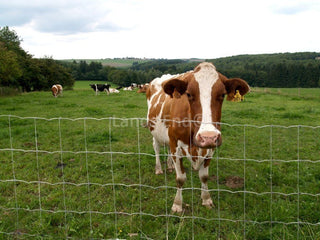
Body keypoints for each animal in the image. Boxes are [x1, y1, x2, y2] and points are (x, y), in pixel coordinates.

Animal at [147, 62, 250, 212]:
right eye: (189, 94)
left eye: (222, 94)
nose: (208, 137)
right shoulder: (176, 145)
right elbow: (180, 178)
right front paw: (177, 204)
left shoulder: (210, 148)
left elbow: (204, 176)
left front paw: (206, 199)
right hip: (155, 132)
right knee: (157, 148)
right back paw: (159, 168)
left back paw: (170, 166)